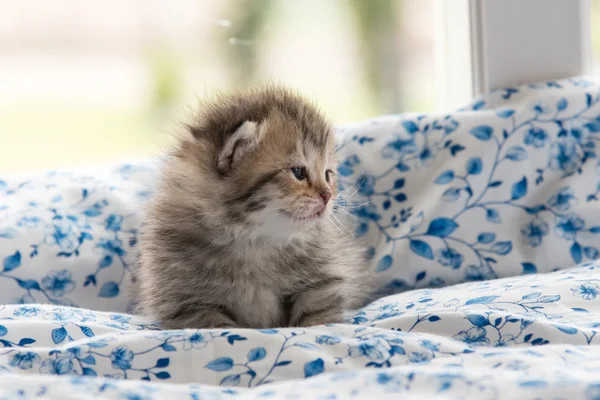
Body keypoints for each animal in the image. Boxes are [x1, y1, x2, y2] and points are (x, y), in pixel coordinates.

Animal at [134, 86, 372, 328]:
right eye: (298, 172)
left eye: (328, 174)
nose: (328, 195)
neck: (253, 241)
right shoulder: (188, 302)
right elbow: (217, 325)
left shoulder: (321, 281)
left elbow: (318, 316)